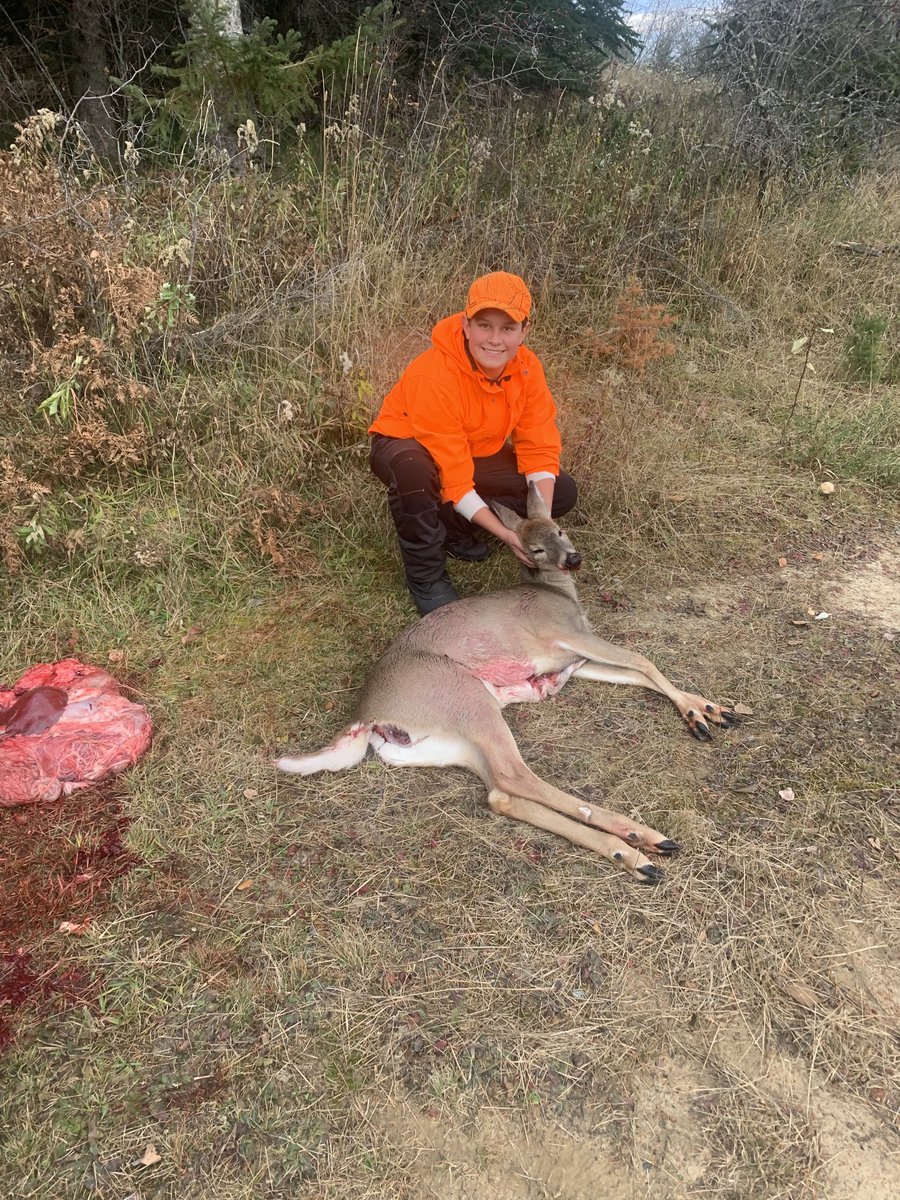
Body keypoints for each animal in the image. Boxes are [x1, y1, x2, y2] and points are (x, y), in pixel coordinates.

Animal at [275, 485, 738, 883]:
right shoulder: (566, 635)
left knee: (499, 793)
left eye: (559, 529)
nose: (573, 559)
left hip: (446, 743)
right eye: (535, 549)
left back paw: (632, 854)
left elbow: (637, 673)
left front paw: (713, 708)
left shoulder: (574, 661)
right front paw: (698, 716)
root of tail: (367, 714)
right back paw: (642, 839)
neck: (559, 595)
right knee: (516, 775)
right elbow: (643, 659)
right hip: (464, 697)